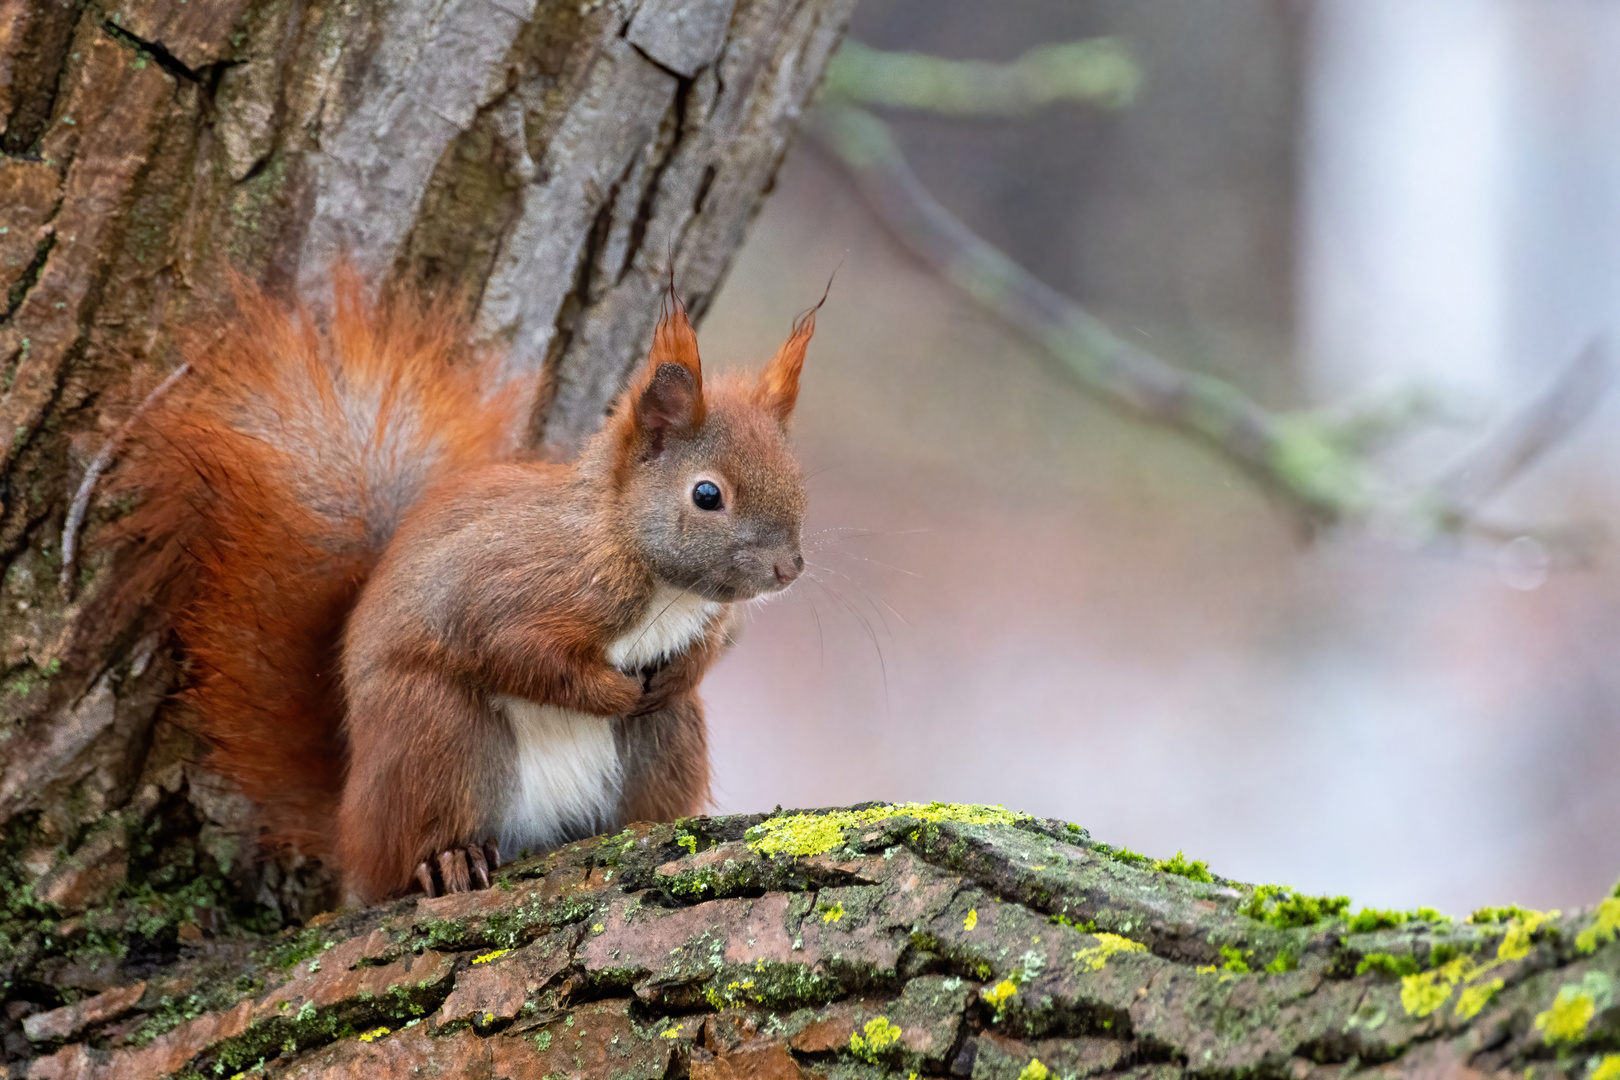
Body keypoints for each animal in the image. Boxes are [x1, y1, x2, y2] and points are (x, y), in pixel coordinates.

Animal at [115, 270, 816, 906]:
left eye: (796, 478)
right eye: (707, 495)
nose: (790, 569)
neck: (658, 580)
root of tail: (352, 833)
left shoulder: (709, 619)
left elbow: (703, 653)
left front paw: (676, 673)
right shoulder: (514, 592)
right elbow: (519, 655)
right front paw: (612, 691)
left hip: (663, 743)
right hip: (435, 731)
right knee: (415, 846)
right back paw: (448, 859)